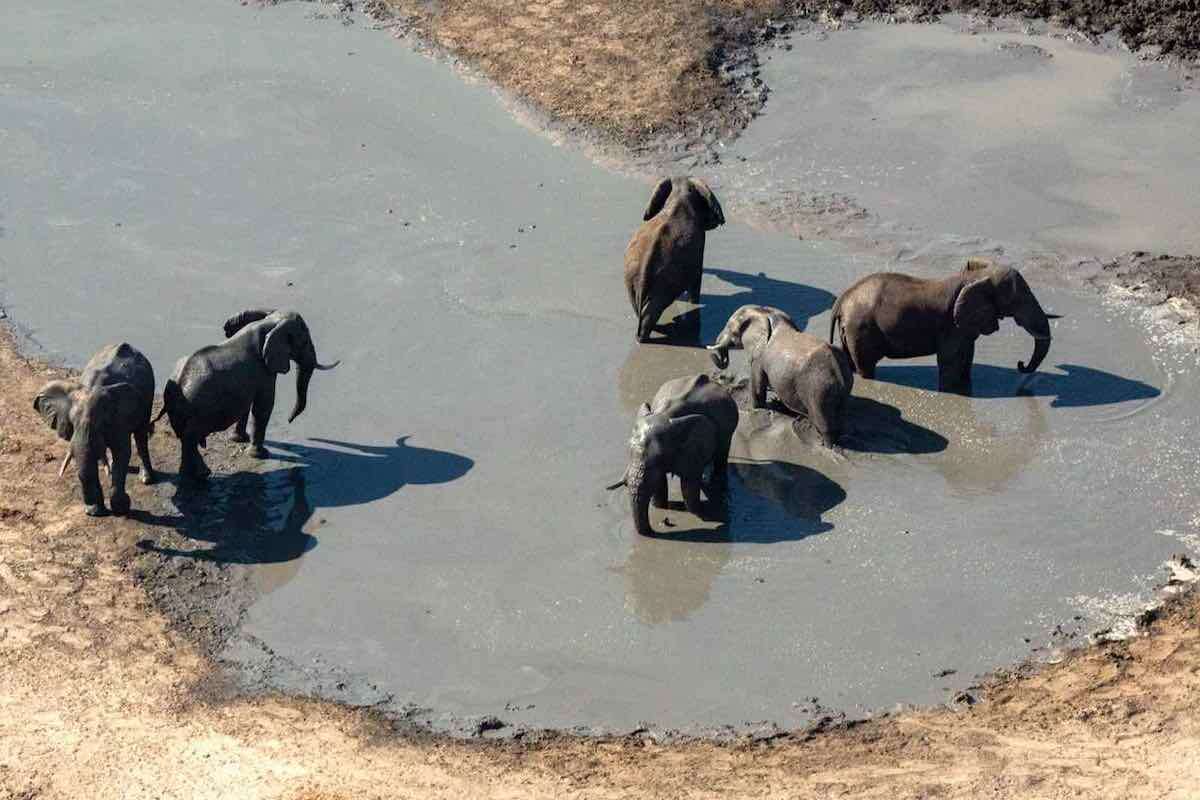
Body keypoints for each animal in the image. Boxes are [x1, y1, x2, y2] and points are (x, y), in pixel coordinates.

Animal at [33, 340, 157, 515]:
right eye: (72, 423)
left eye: (101, 423)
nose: (91, 511)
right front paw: (94, 512)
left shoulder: (119, 419)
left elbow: (123, 452)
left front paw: (122, 507)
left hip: (148, 395)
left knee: (140, 435)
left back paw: (146, 479)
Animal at [157, 309, 340, 479]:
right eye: (304, 342)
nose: (289, 420)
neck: (269, 322)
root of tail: (178, 384)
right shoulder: (263, 370)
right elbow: (264, 406)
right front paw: (260, 455)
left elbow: (246, 405)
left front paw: (239, 440)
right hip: (197, 410)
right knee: (190, 438)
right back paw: (202, 474)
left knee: (185, 438)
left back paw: (191, 475)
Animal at [609, 376, 739, 537]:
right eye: (628, 450)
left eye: (660, 456)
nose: (664, 523)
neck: (666, 414)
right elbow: (659, 481)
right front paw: (661, 507)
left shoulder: (693, 447)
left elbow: (688, 484)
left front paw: (699, 512)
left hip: (729, 429)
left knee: (722, 454)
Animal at [830, 260, 1056, 393]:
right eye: (1017, 300)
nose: (1020, 365)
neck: (975, 276)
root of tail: (842, 299)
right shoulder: (951, 325)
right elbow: (951, 360)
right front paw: (952, 391)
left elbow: (966, 355)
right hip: (861, 329)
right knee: (866, 366)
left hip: (851, 330)